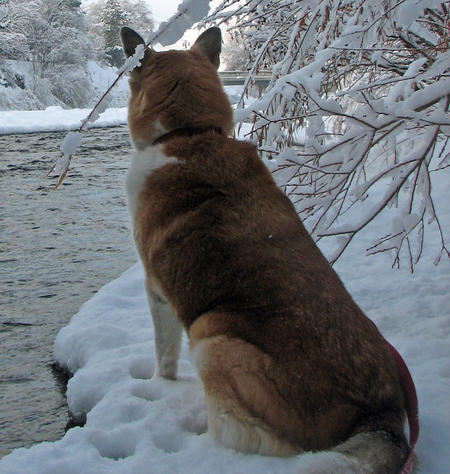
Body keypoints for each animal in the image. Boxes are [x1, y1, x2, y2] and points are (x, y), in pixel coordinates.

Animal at [121, 26, 414, 474]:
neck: (189, 132)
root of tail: (378, 419)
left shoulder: (158, 291)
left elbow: (164, 358)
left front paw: (160, 388)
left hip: (213, 335)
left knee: (250, 439)